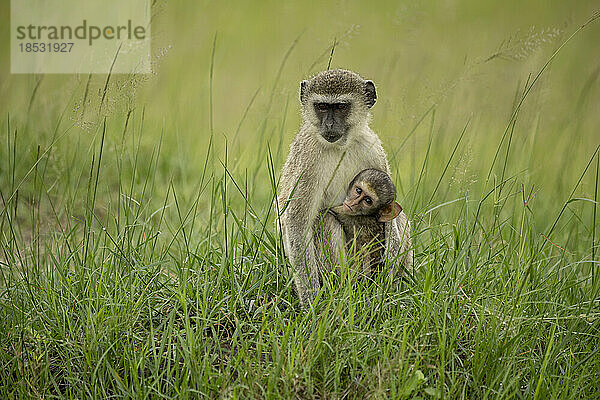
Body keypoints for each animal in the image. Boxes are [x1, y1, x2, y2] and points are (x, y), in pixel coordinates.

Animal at [278, 69, 412, 306]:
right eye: (322, 107)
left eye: (340, 107)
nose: (329, 125)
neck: (340, 145)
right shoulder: (307, 157)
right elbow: (296, 221)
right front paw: (312, 302)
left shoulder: (373, 148)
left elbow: (391, 210)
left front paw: (389, 273)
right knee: (323, 219)